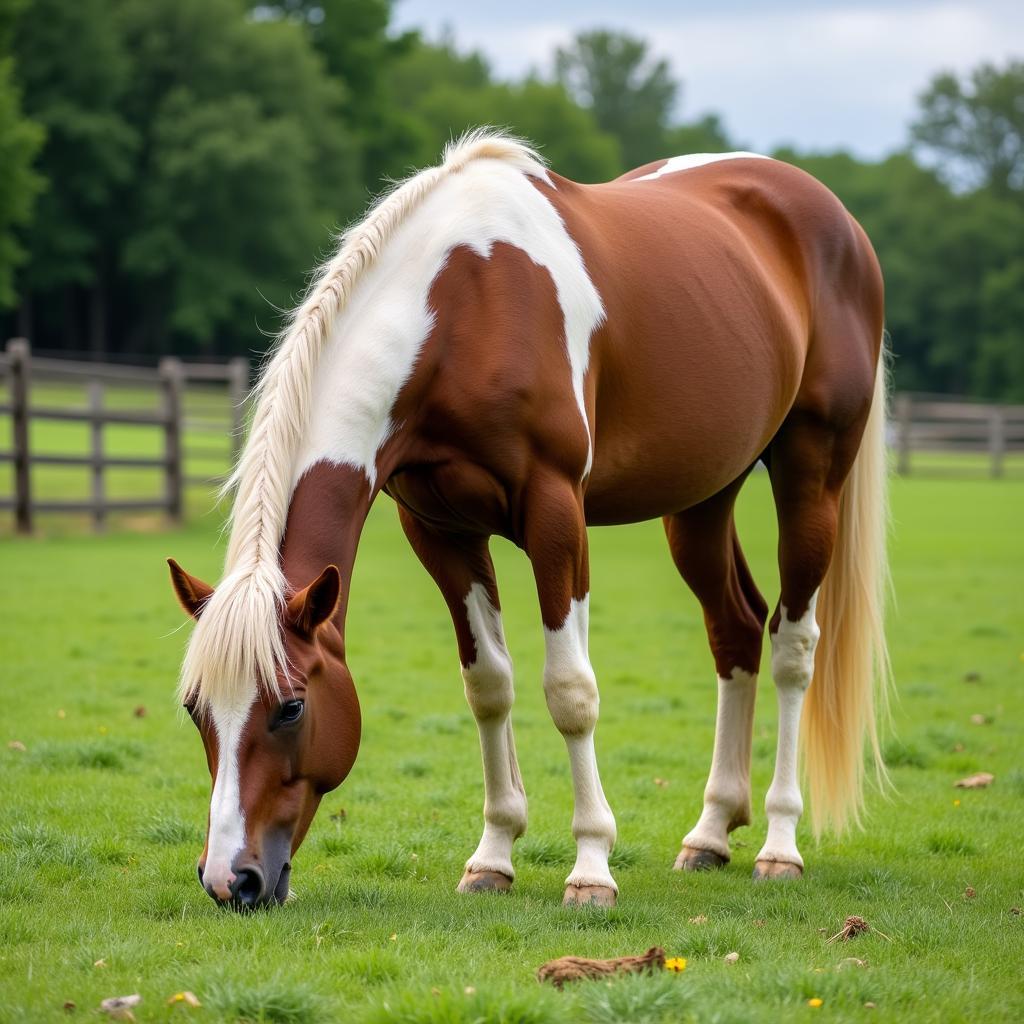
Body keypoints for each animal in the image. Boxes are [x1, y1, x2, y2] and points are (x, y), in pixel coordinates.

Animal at [167, 130, 888, 913]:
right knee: (735, 628)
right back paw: (710, 834)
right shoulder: (442, 531)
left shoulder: (556, 517)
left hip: (811, 474)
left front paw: (591, 868)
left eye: (292, 707)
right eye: (196, 710)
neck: (463, 307)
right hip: (702, 499)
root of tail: (836, 219)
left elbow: (570, 692)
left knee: (792, 646)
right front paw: (493, 857)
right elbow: (489, 685)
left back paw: (780, 845)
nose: (230, 879)